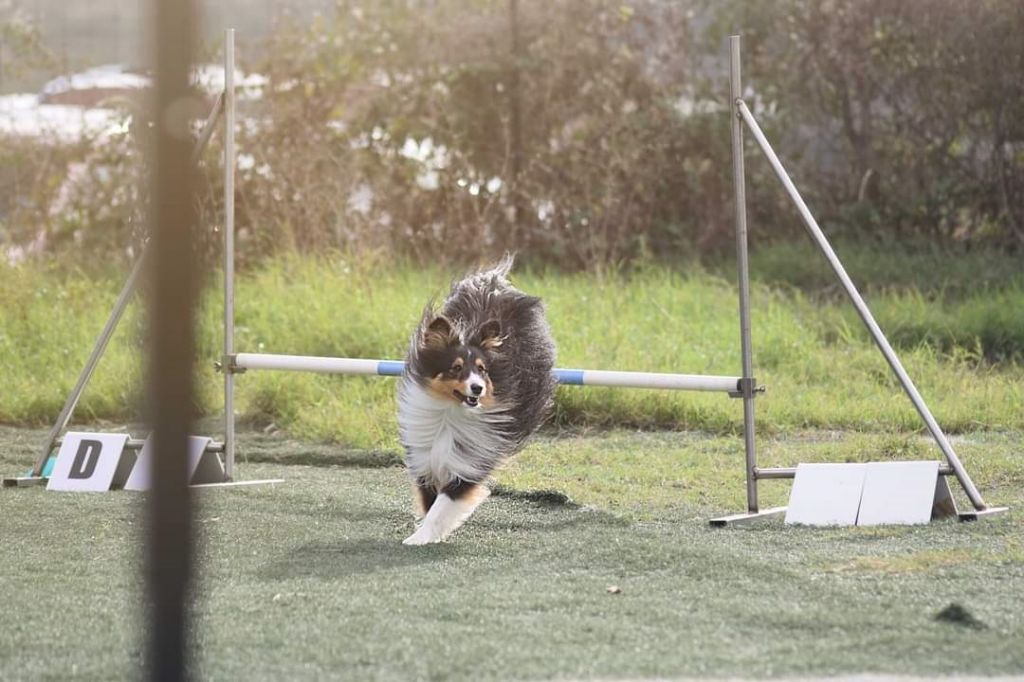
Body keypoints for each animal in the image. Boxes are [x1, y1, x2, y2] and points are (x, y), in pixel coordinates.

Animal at [397, 251, 557, 544]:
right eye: (456, 368)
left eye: (482, 370)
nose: (477, 389)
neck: (450, 412)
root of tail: (494, 282)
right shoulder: (424, 458)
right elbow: (429, 501)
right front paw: (428, 532)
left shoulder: (471, 460)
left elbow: (442, 504)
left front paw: (422, 537)